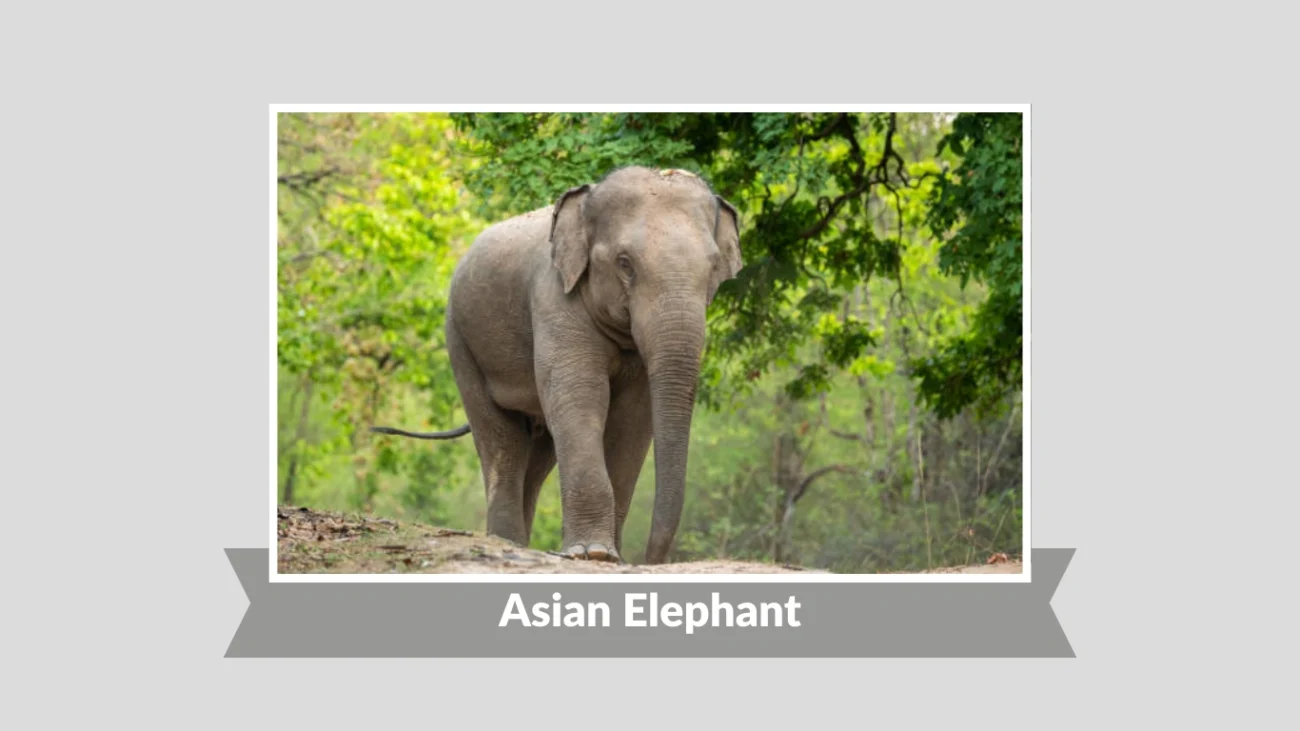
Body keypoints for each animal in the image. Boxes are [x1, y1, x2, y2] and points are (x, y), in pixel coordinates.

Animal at [372, 167, 744, 564]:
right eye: (624, 264)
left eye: (713, 267)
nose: (647, 560)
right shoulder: (553, 299)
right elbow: (581, 397)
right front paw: (592, 554)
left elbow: (632, 418)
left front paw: (609, 556)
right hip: (460, 341)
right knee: (502, 441)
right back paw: (507, 542)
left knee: (538, 455)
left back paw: (520, 542)